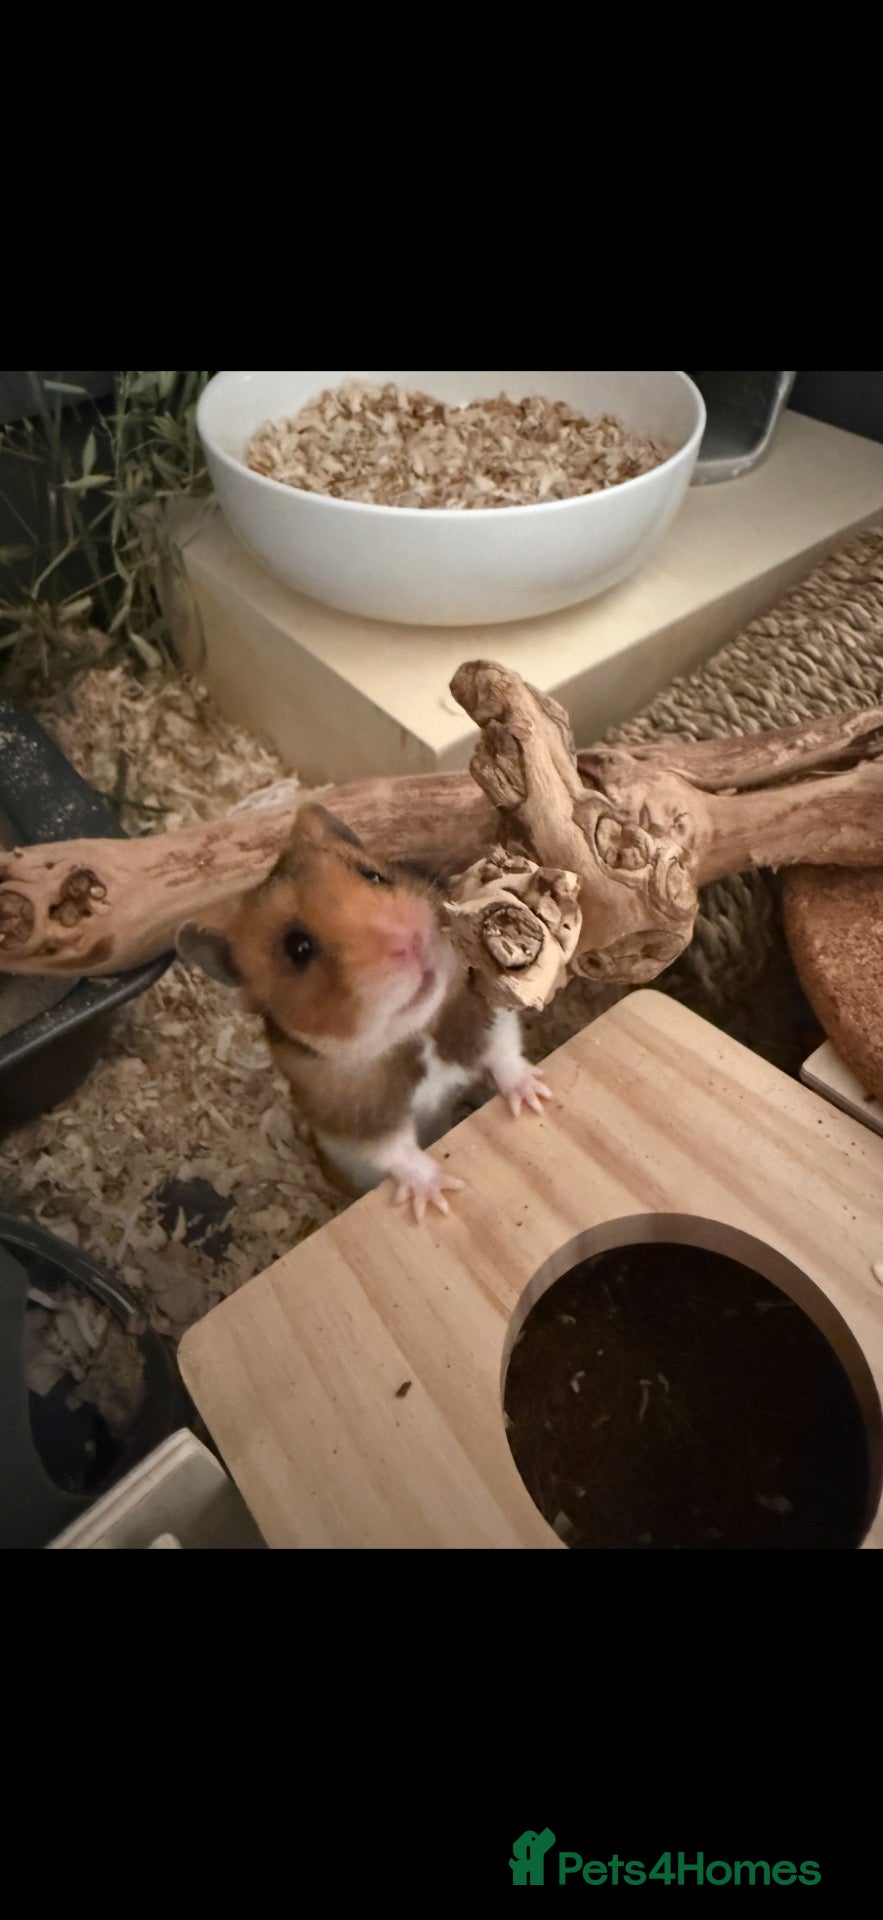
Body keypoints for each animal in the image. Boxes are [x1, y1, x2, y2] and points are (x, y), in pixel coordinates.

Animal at [177, 803, 551, 1222]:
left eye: (373, 875)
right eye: (298, 947)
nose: (409, 940)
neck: (415, 1034)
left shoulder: (483, 1019)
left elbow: (505, 1052)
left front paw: (537, 1097)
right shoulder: (358, 1121)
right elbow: (398, 1153)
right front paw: (438, 1199)